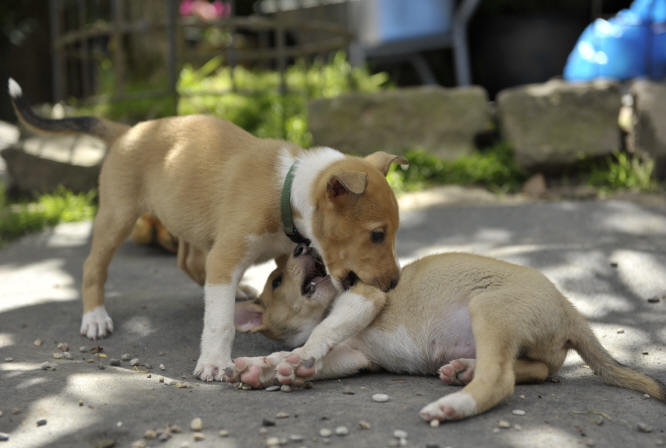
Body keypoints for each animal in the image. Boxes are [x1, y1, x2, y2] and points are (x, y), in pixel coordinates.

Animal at [8, 78, 406, 381]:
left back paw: (238, 290)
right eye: (376, 234)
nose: (392, 285)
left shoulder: (278, 253)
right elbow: (220, 321)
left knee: (187, 262)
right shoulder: (227, 256)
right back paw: (95, 318)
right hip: (117, 214)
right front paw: (214, 363)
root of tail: (129, 131)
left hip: (190, 223)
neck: (286, 189)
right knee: (95, 265)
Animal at [231, 247, 666, 422]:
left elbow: (322, 332)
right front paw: (266, 367)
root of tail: (571, 310)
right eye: (277, 280)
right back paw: (462, 370)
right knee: (536, 369)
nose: (306, 248)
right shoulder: (355, 356)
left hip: (488, 308)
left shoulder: (366, 298)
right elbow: (310, 352)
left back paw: (453, 405)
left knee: (500, 379)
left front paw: (296, 359)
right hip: (516, 336)